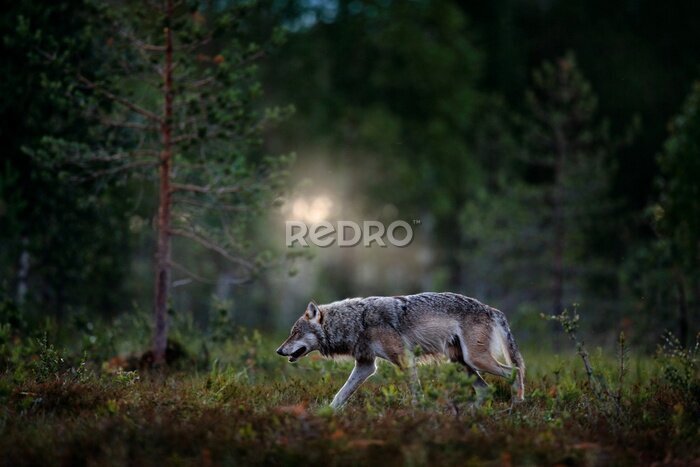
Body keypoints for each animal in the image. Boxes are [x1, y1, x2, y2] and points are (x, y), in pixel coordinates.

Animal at [274, 292, 524, 410]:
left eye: (295, 333)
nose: (278, 350)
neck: (357, 321)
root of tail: (490, 309)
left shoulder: (404, 359)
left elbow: (416, 393)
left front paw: (420, 413)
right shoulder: (366, 365)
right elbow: (340, 395)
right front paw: (325, 415)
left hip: (476, 360)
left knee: (516, 370)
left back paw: (517, 404)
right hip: (461, 363)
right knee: (485, 389)